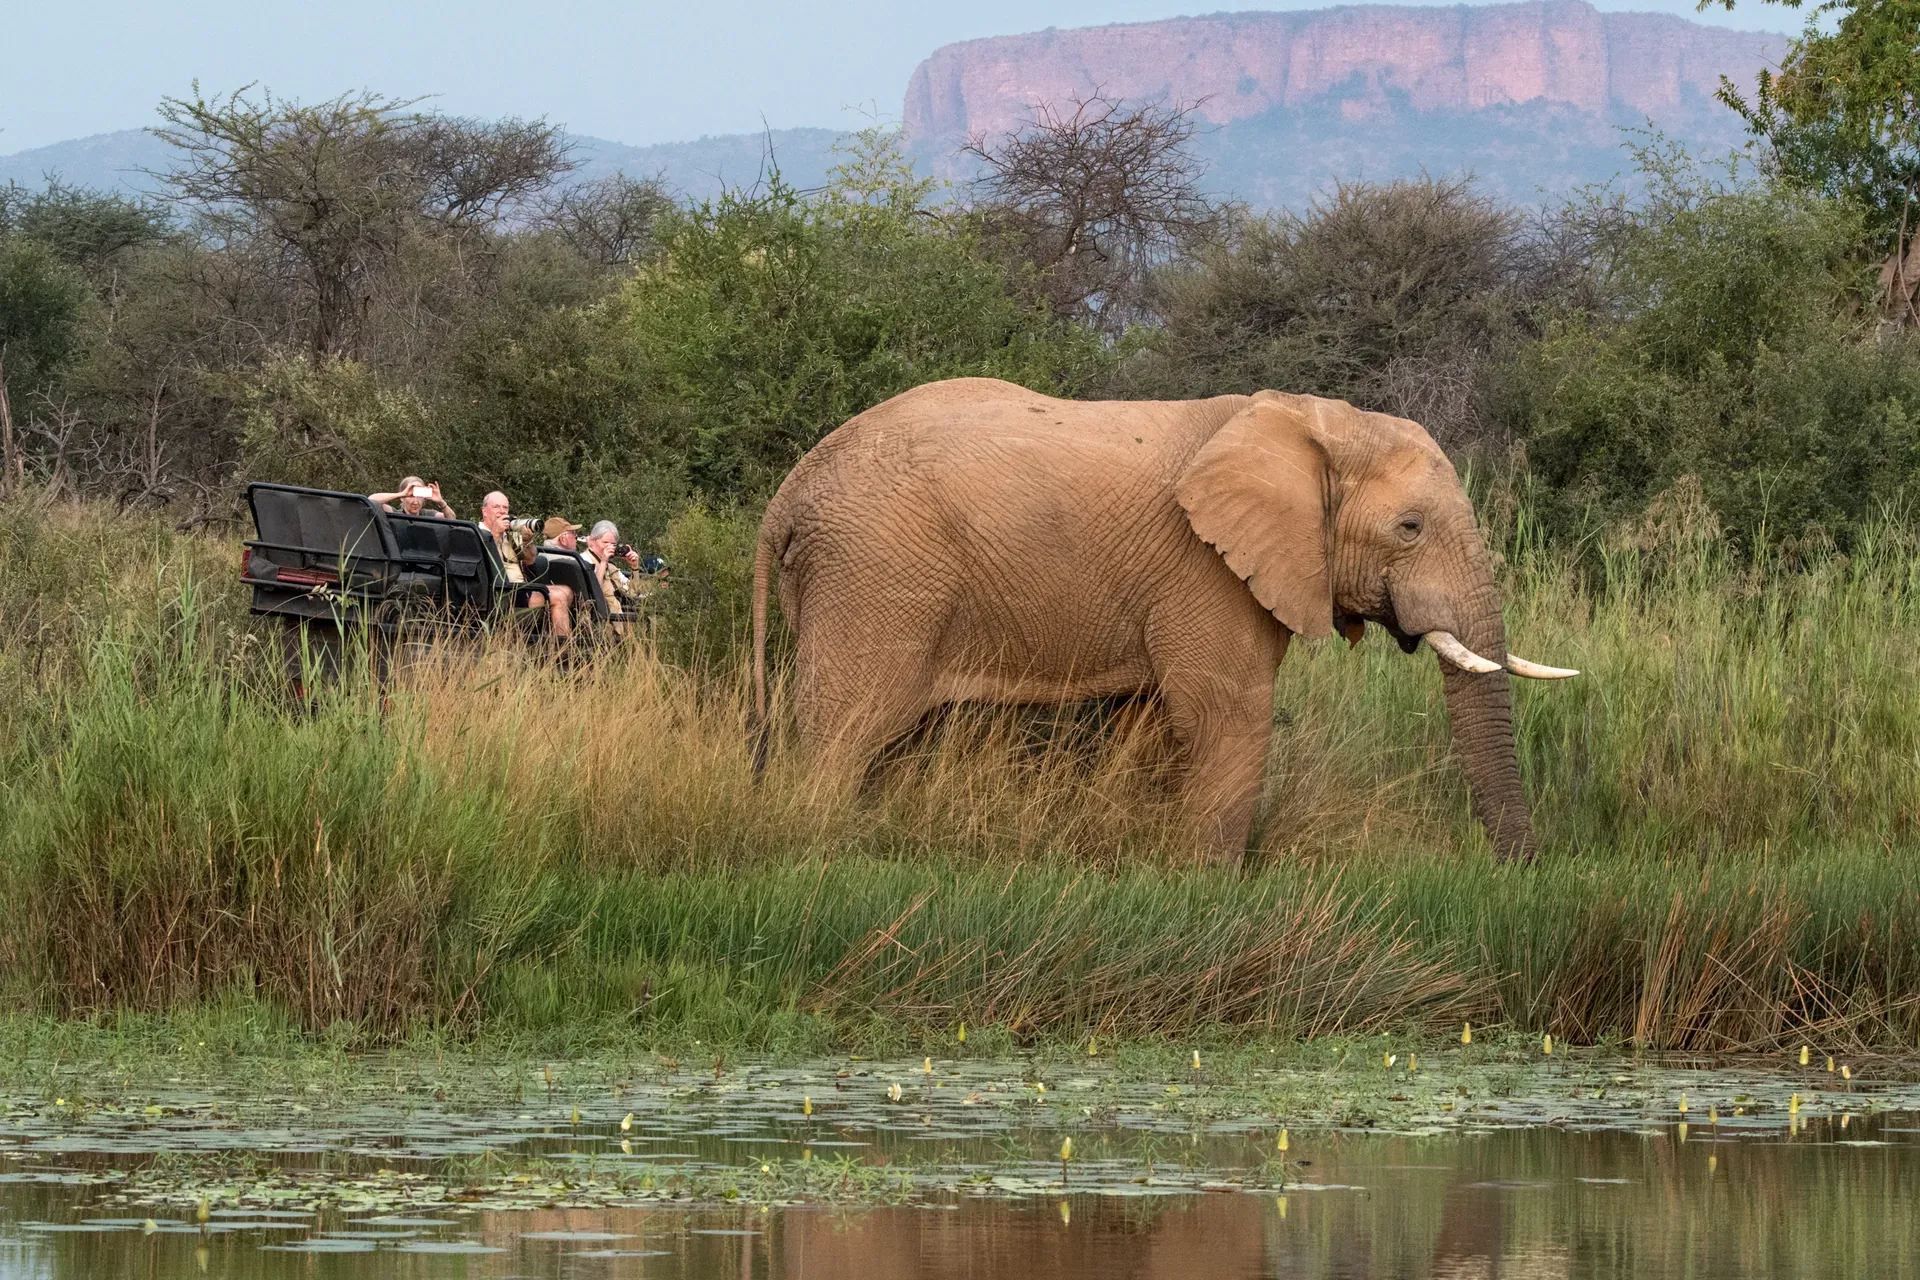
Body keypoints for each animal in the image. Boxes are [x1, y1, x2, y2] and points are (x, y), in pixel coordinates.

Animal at [749, 377, 1575, 861]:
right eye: (1409, 528)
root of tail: (788, 494)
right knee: (850, 732)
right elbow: (1224, 715)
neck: (1312, 422)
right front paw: (1212, 887)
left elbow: (1150, 725)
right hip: (874, 576)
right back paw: (823, 851)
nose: (1517, 873)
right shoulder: (1204, 569)